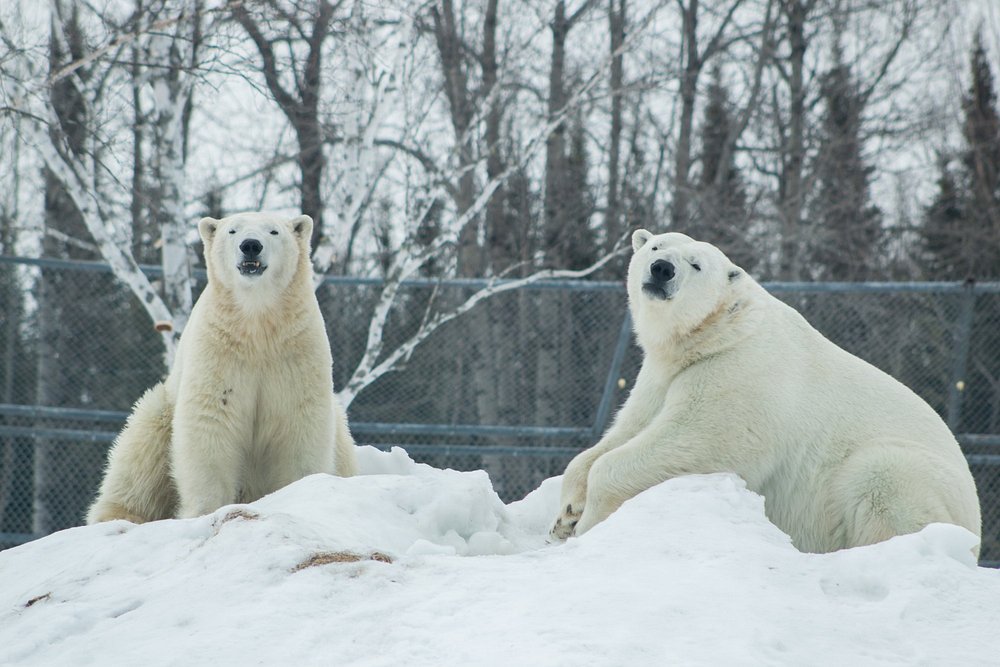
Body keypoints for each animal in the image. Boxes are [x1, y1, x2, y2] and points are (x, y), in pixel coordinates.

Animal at [87, 211, 357, 523]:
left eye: (274, 231)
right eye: (232, 230)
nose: (250, 245)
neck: (256, 326)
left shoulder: (295, 352)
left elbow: (299, 423)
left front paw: (302, 494)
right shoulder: (219, 351)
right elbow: (211, 422)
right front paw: (205, 510)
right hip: (161, 411)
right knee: (140, 455)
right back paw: (117, 516)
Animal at [550, 229, 981, 554]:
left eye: (696, 264)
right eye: (656, 246)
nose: (662, 269)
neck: (719, 332)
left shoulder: (735, 374)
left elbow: (697, 439)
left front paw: (587, 523)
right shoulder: (662, 375)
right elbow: (626, 429)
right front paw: (565, 513)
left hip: (910, 477)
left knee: (880, 480)